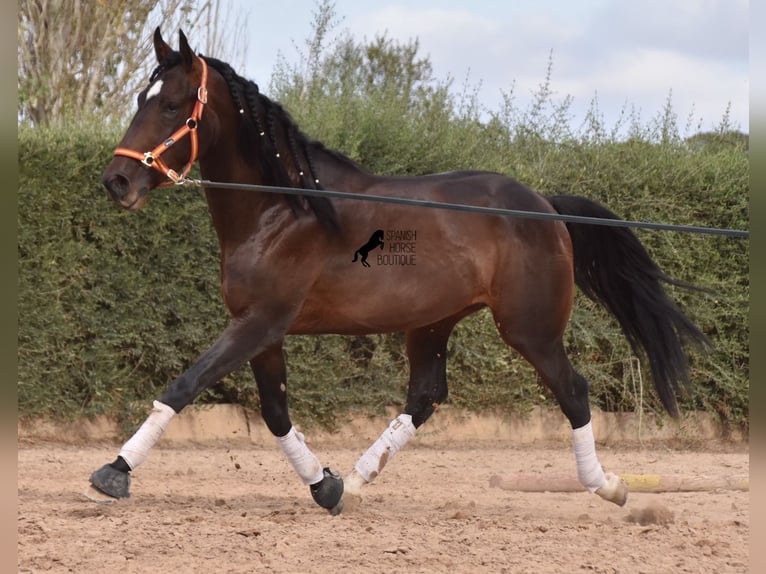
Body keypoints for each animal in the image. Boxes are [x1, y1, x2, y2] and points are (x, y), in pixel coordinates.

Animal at [90, 28, 708, 512]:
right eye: (141, 97)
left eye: (172, 105)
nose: (116, 181)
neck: (283, 210)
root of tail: (546, 208)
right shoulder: (262, 329)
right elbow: (274, 412)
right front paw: (325, 487)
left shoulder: (259, 322)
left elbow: (185, 384)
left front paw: (113, 473)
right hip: (433, 322)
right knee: (426, 396)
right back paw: (357, 481)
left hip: (529, 329)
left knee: (574, 392)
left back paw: (610, 487)